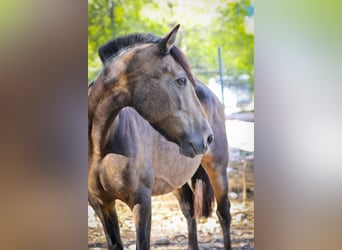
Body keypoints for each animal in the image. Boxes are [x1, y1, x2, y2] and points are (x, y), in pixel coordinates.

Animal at [88, 23, 231, 250]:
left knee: (224, 214)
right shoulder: (100, 203)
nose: (207, 138)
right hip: (175, 179)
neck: (100, 146)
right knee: (189, 210)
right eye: (181, 80)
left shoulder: (141, 202)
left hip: (218, 169)